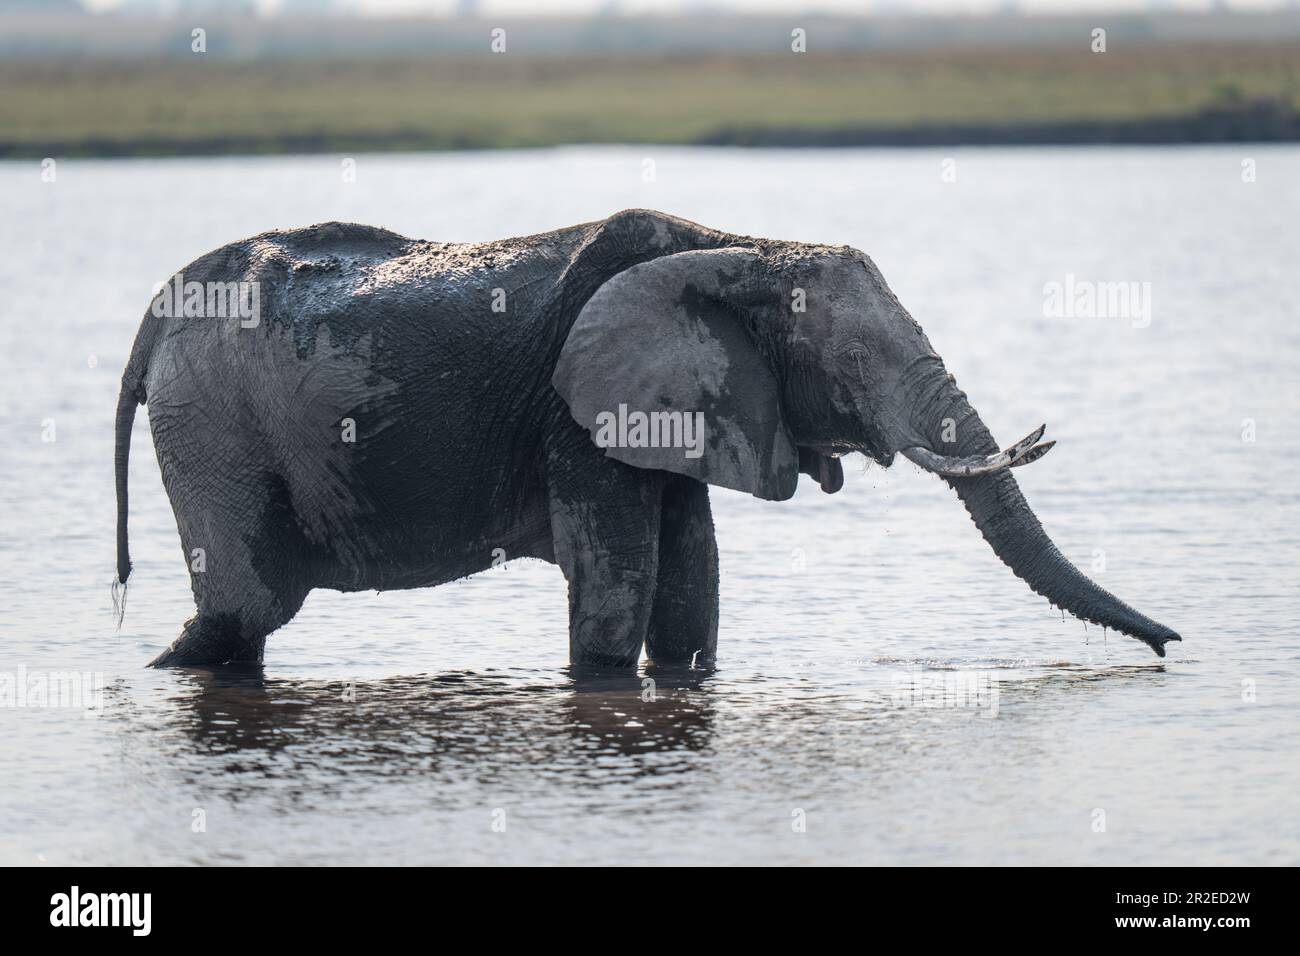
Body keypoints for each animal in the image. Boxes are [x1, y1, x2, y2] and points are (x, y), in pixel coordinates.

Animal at [114, 208, 1180, 668]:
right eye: (851, 365)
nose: (1172, 646)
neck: (743, 247)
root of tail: (160, 311)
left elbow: (691, 588)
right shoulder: (580, 416)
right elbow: (620, 588)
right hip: (212, 424)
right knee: (244, 610)